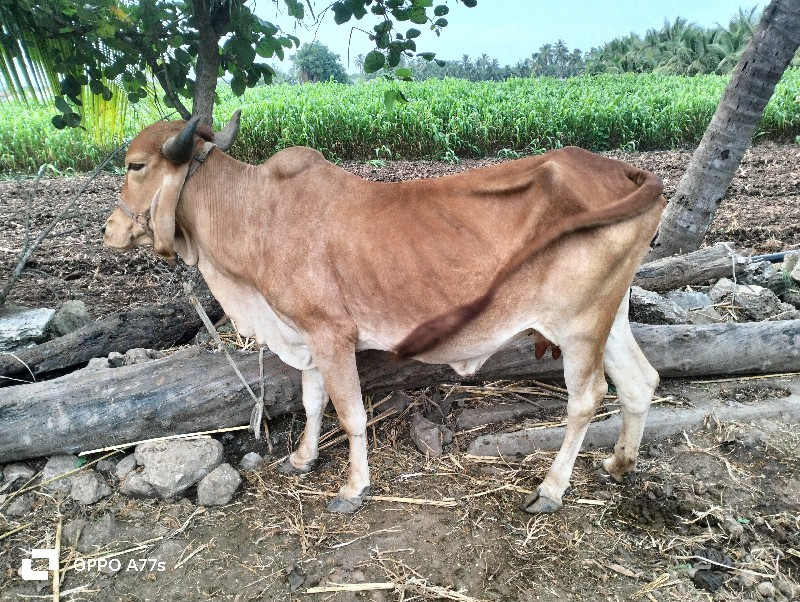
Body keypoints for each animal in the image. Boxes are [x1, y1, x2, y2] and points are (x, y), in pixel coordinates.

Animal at [104, 111, 668, 510]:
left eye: (135, 166)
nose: (109, 230)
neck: (257, 215)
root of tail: (625, 170)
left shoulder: (331, 334)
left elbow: (350, 414)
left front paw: (354, 488)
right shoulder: (306, 336)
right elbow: (313, 403)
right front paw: (303, 459)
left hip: (577, 327)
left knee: (588, 398)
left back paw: (552, 489)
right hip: (608, 319)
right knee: (640, 381)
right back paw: (619, 465)